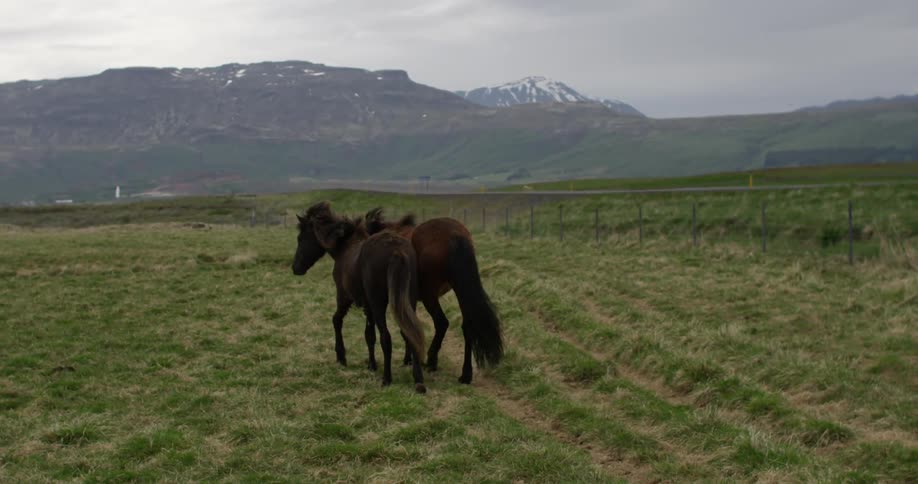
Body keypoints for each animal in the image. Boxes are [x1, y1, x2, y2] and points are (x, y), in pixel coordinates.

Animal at [291, 201, 428, 393]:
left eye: (301, 238)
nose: (295, 268)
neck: (346, 247)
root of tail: (396, 251)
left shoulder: (344, 297)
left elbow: (337, 320)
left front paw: (341, 357)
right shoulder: (367, 307)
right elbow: (369, 335)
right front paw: (371, 364)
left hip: (379, 305)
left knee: (386, 337)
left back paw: (387, 379)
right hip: (408, 301)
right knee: (411, 333)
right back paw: (418, 380)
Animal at [365, 208, 503, 384]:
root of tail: (454, 236)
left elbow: (407, 328)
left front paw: (408, 359)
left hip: (430, 295)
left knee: (441, 322)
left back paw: (431, 360)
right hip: (459, 289)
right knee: (467, 326)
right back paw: (465, 374)